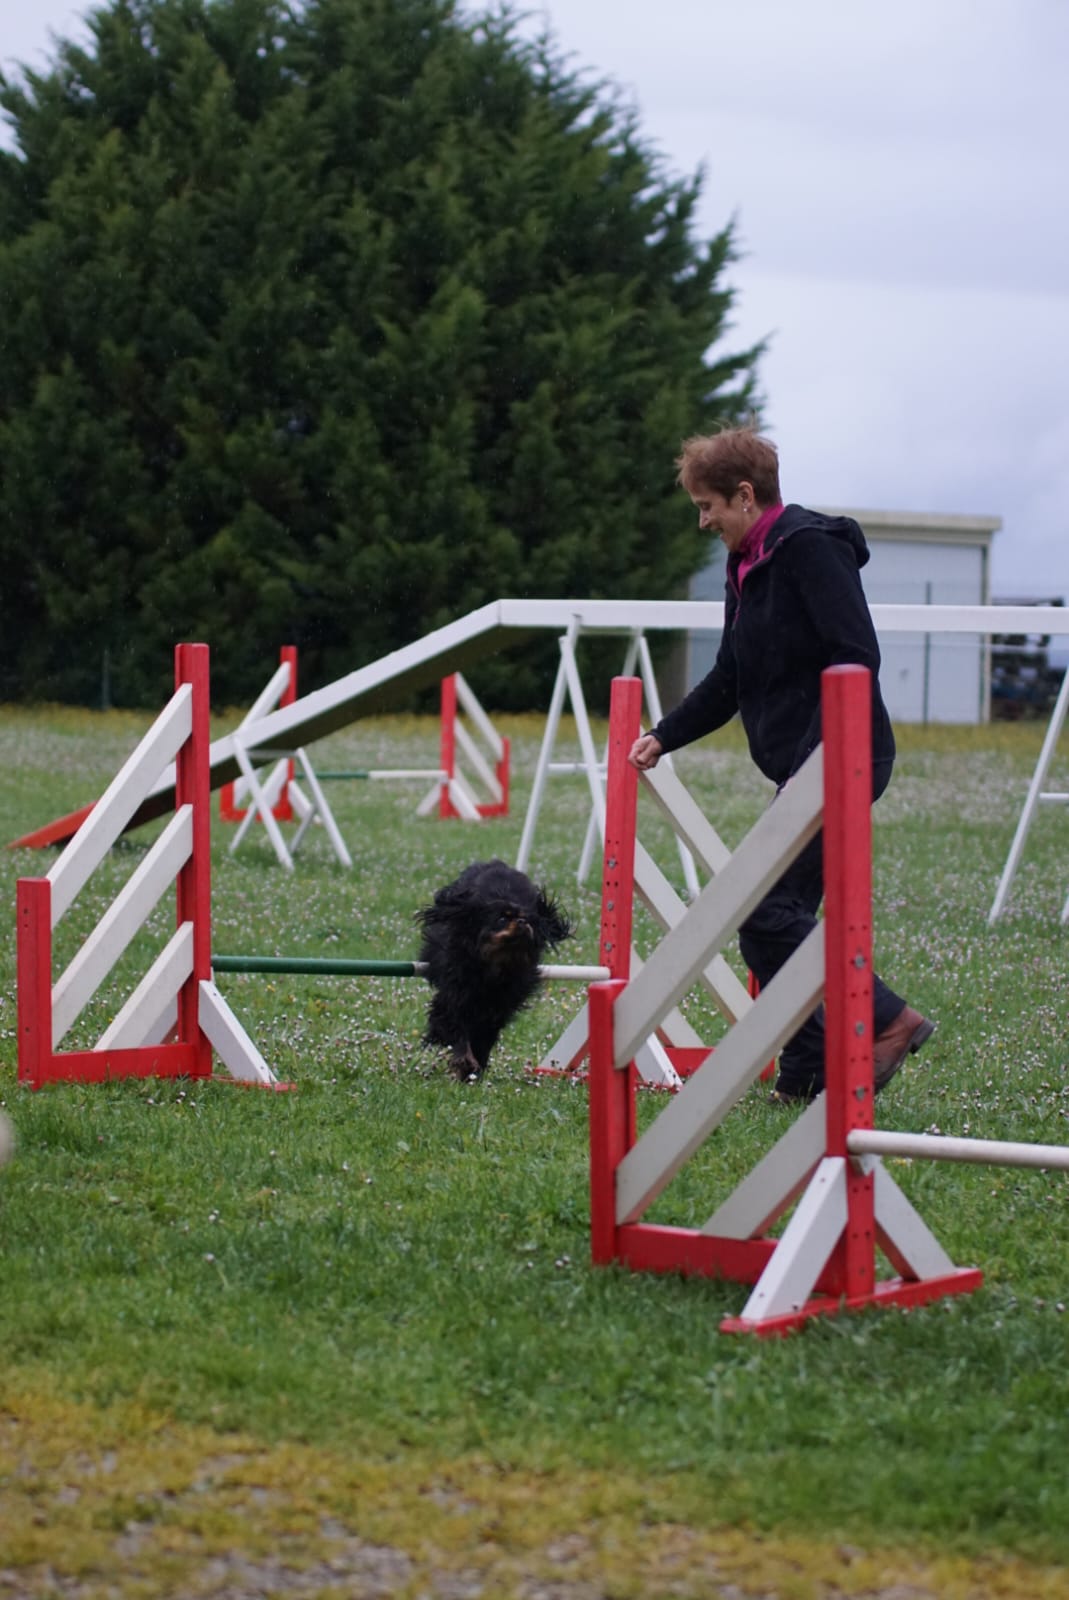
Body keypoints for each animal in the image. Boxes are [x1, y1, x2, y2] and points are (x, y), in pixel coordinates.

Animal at [416, 857, 572, 1081]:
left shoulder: (498, 1009)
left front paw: (475, 1070)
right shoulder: (455, 995)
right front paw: (464, 1062)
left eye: (528, 918)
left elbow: (483, 1039)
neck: (497, 966)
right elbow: (456, 1028)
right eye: (502, 919)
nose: (523, 921)